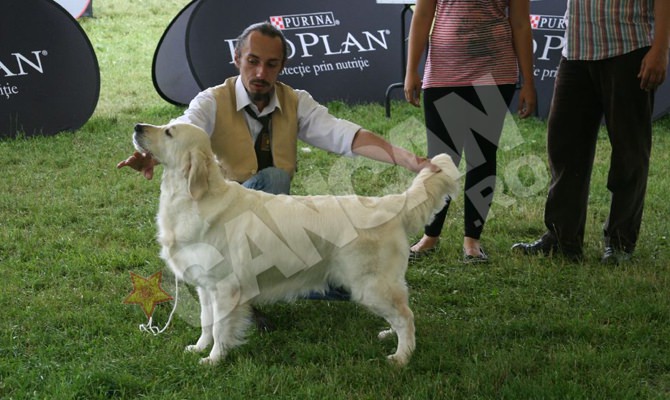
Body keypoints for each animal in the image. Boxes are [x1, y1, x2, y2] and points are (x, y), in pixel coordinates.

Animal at [132, 122, 462, 366]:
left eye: (168, 132)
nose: (137, 127)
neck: (194, 198)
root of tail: (390, 203)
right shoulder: (205, 286)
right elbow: (205, 321)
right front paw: (199, 348)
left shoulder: (226, 288)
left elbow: (222, 326)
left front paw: (214, 360)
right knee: (400, 313)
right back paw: (387, 334)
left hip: (370, 285)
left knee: (407, 317)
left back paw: (401, 356)